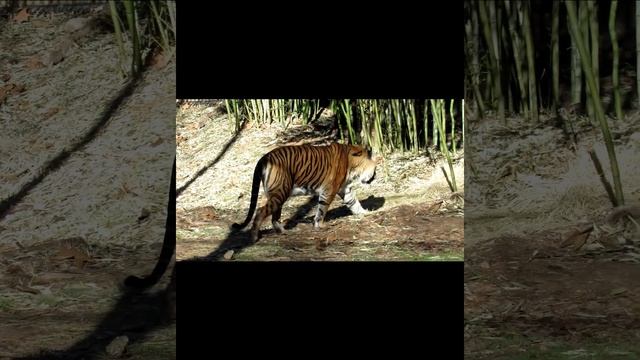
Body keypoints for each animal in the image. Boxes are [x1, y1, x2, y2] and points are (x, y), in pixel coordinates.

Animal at [232, 142, 378, 243]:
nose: (375, 176)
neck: (353, 165)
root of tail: (264, 157)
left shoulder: (345, 189)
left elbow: (354, 202)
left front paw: (365, 212)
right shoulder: (329, 190)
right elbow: (322, 209)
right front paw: (319, 225)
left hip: (276, 194)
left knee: (274, 216)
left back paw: (282, 231)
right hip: (280, 192)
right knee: (260, 211)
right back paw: (254, 237)